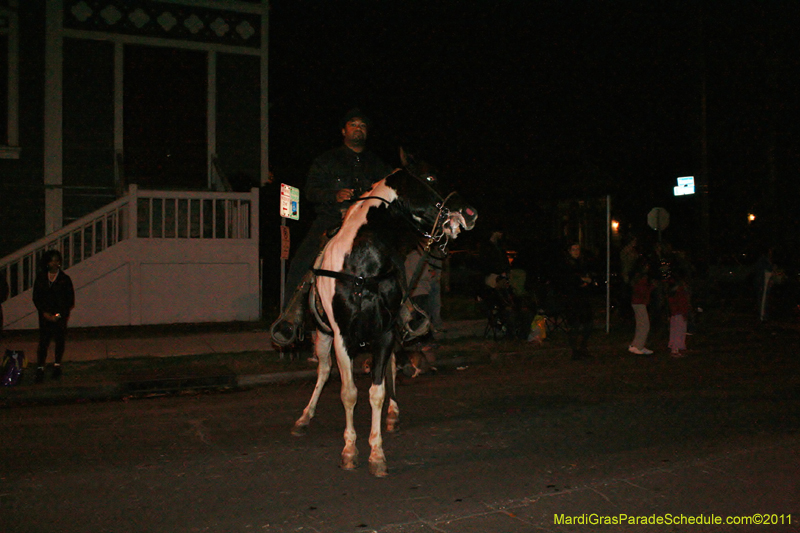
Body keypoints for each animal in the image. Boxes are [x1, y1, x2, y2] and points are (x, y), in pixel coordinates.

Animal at [292, 151, 476, 478]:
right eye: (430, 177)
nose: (471, 213)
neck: (362, 266)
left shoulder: (386, 333)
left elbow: (376, 391)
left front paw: (376, 453)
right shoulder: (342, 337)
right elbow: (349, 392)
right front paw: (349, 451)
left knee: (389, 369)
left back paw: (392, 414)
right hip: (323, 337)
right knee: (323, 371)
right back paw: (304, 417)